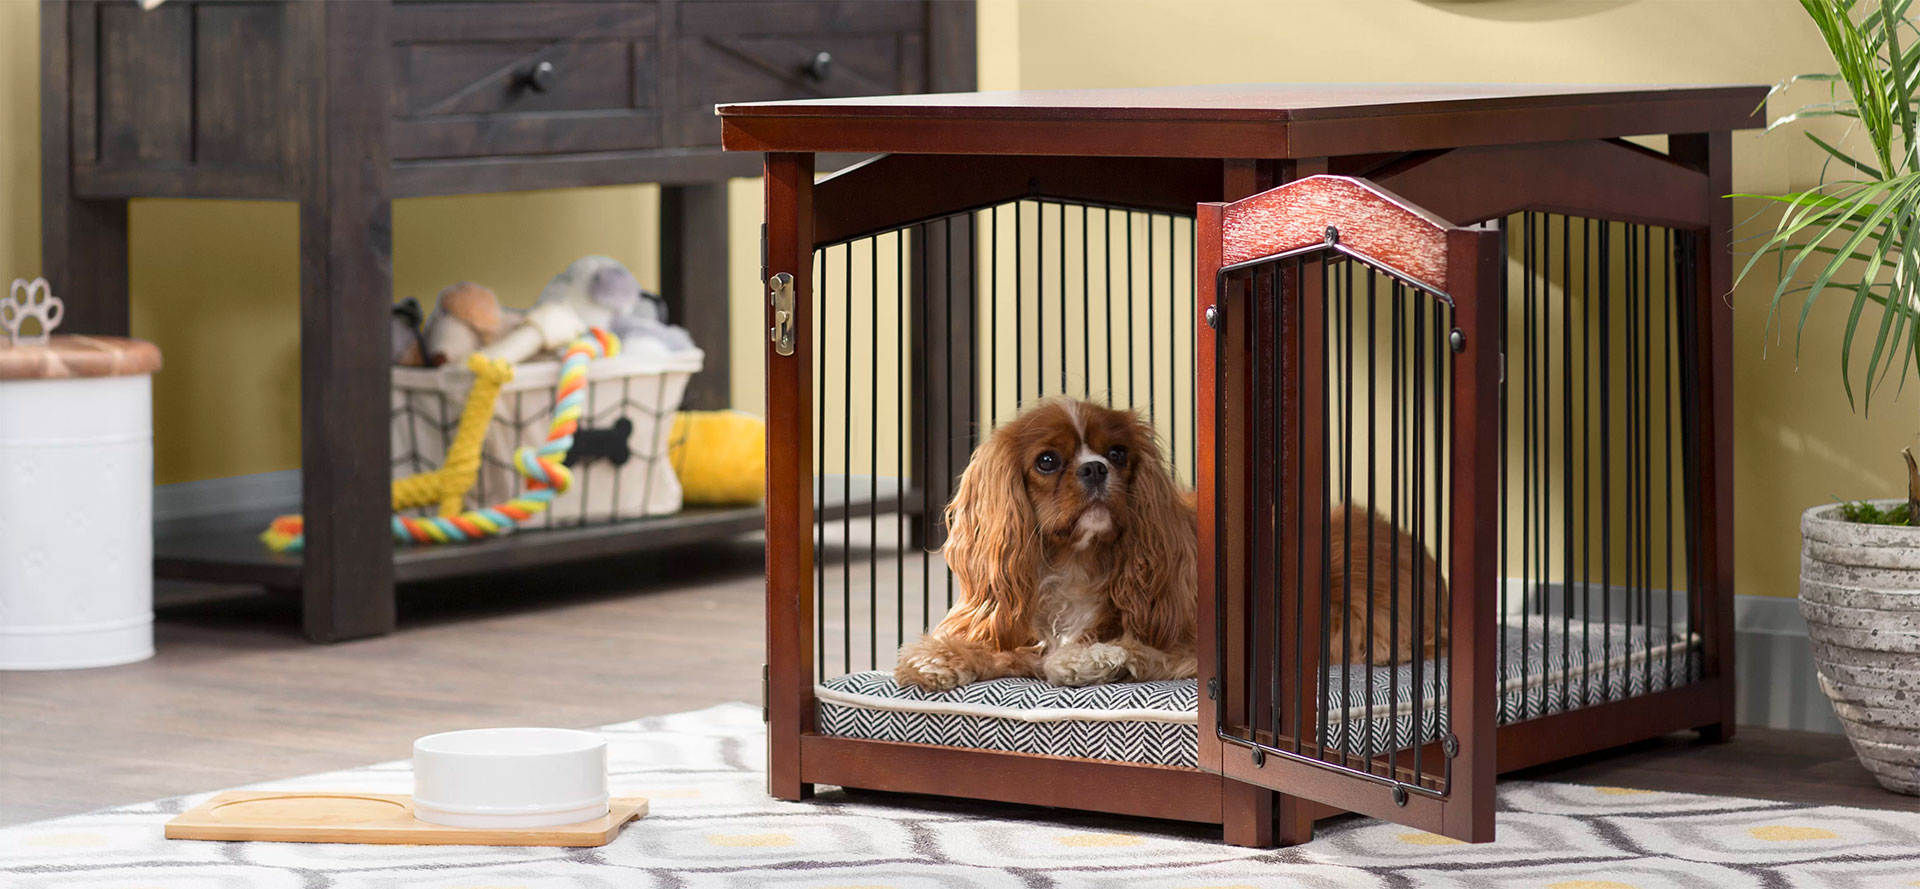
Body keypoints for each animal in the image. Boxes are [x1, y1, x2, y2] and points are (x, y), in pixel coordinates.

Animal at [890, 399, 1190, 695]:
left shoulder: (1184, 645)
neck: (1074, 563)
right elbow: (1001, 651)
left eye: (1117, 454)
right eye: (1047, 461)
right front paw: (939, 657)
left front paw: (1088, 656)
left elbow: (1146, 648)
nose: (1095, 467)